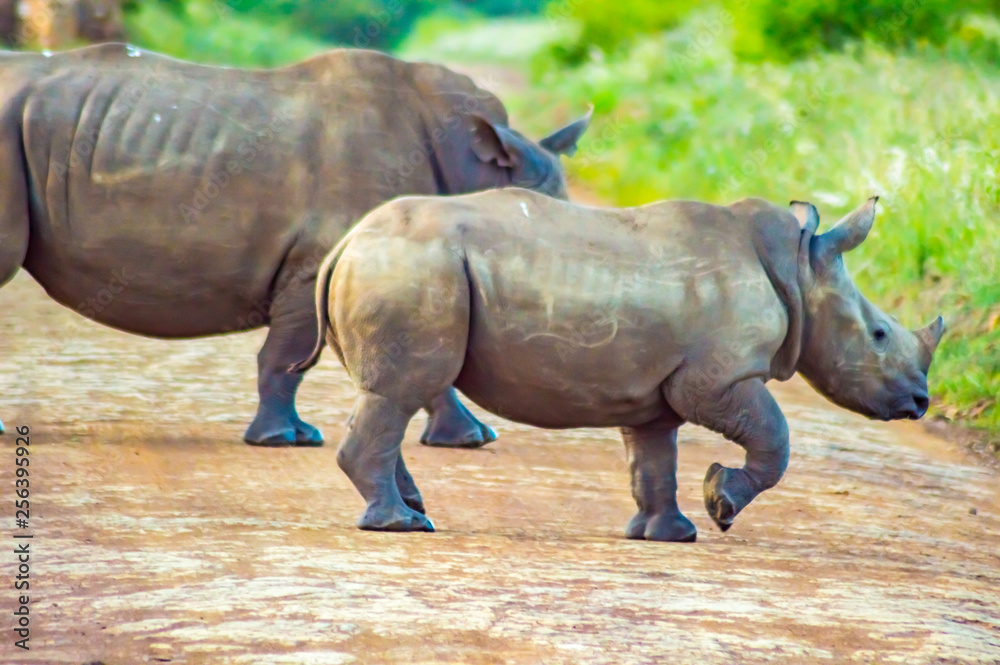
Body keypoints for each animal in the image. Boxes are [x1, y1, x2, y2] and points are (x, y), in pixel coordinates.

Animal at [291, 190, 944, 540]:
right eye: (879, 335)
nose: (920, 402)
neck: (800, 270)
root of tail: (348, 241)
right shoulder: (718, 379)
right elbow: (775, 439)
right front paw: (722, 505)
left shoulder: (658, 392)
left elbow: (653, 459)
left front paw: (669, 535)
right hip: (412, 268)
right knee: (399, 393)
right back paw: (400, 525)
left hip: (405, 267)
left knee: (388, 395)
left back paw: (412, 510)